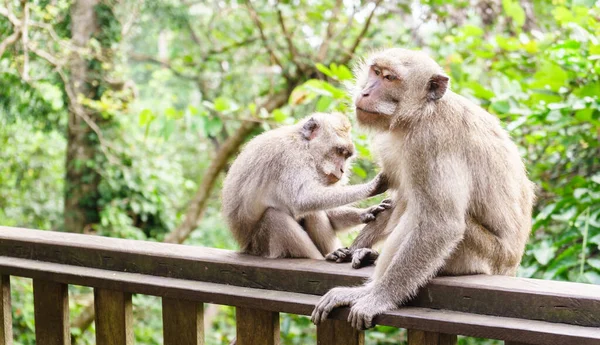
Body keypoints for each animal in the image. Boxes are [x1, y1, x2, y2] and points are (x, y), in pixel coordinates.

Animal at [221, 112, 390, 258]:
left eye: (346, 156)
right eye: (339, 151)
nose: (342, 170)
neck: (304, 145)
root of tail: (246, 247)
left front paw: (367, 212)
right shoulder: (291, 157)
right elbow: (302, 199)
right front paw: (372, 186)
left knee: (313, 212)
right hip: (261, 244)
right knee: (274, 217)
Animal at [310, 47, 536, 328]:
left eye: (390, 78)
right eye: (376, 72)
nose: (365, 92)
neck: (419, 113)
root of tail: (511, 265)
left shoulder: (430, 141)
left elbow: (441, 224)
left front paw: (378, 298)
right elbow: (399, 198)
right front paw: (351, 249)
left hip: (484, 256)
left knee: (421, 214)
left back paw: (368, 290)